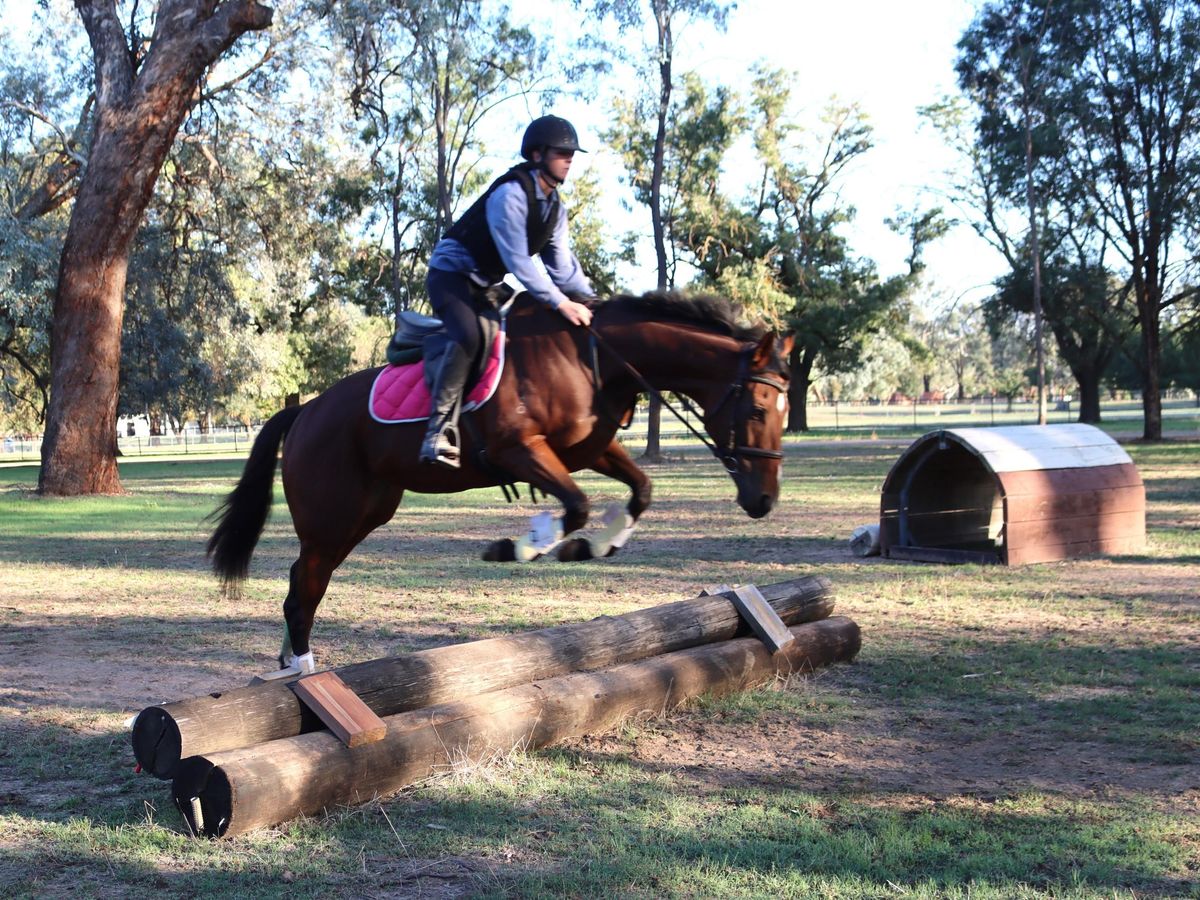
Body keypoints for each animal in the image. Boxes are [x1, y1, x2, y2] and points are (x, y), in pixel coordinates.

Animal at [207, 291, 793, 677]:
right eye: (759, 408)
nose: (763, 500)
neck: (594, 358)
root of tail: (305, 411)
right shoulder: (521, 451)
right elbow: (575, 505)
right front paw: (524, 546)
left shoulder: (587, 450)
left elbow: (639, 492)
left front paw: (595, 545)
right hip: (333, 517)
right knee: (303, 588)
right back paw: (305, 674)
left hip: (364, 513)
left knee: (303, 580)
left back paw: (291, 664)